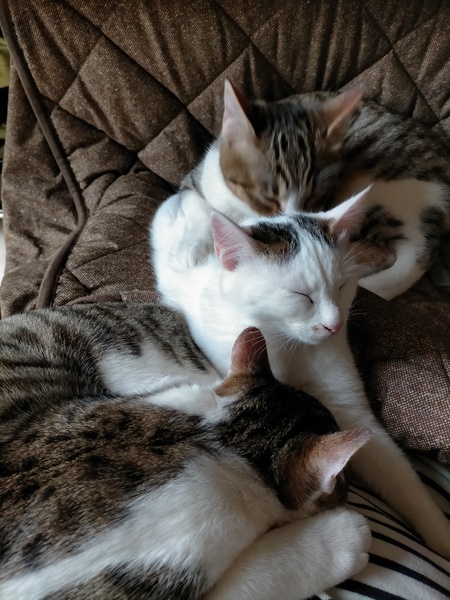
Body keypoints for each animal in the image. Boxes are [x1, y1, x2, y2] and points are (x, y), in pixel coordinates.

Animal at [151, 187, 450, 562]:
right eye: (301, 295)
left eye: (342, 286)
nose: (334, 324)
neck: (292, 347)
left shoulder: (348, 407)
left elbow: (399, 474)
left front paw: (442, 537)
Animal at [180, 79, 450, 299]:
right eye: (268, 195)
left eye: (316, 195)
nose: (292, 218)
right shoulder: (197, 178)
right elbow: (199, 206)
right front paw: (197, 247)